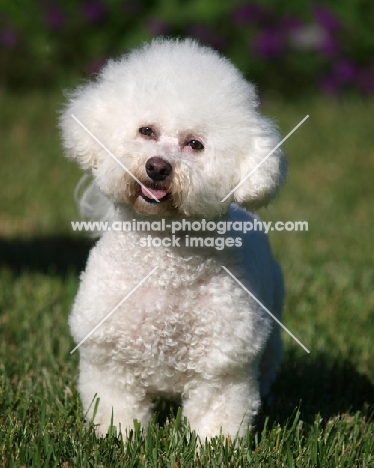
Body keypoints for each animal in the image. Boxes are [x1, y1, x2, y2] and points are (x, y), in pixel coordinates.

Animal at [60, 38, 284, 440]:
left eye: (194, 144)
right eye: (146, 130)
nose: (157, 166)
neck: (164, 262)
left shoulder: (222, 366)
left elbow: (217, 416)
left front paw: (216, 446)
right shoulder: (110, 359)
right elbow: (116, 408)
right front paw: (119, 438)